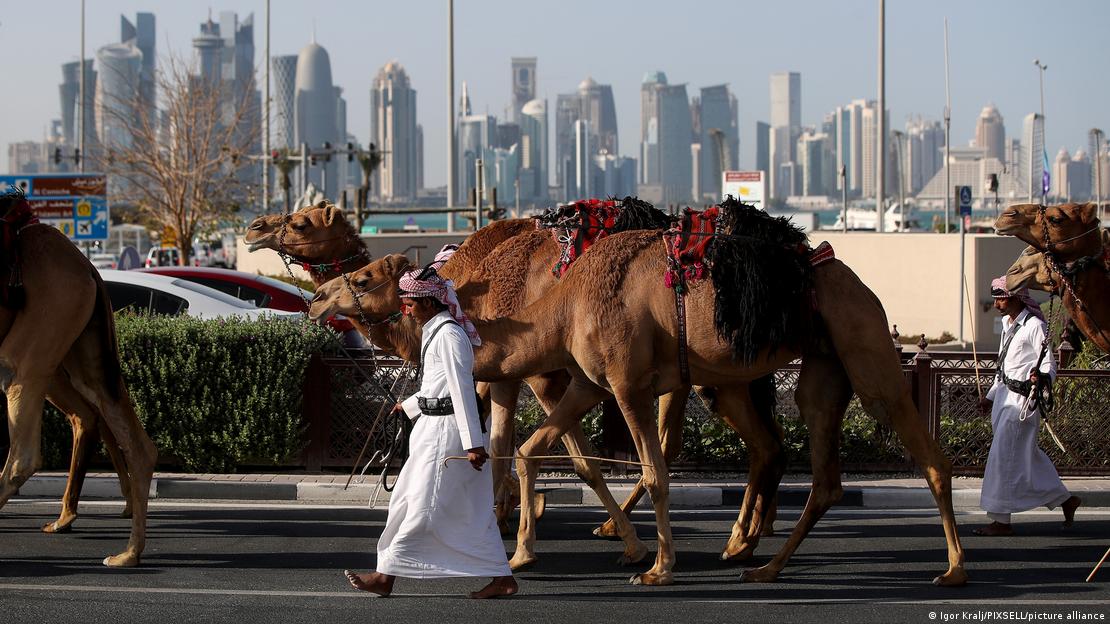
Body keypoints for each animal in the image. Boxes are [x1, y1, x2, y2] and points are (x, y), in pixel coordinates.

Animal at [0, 189, 157, 564]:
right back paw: (127, 551)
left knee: (25, 453)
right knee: (119, 427)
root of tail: (87, 267)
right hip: (82, 345)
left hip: (44, 325)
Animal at [310, 202, 963, 586]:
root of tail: (846, 274)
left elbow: (646, 469)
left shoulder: (618, 381)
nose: (317, 301)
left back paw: (952, 570)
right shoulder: (585, 380)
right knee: (810, 468)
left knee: (927, 454)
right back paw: (758, 561)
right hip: (812, 371)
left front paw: (653, 564)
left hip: (865, 348)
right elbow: (527, 450)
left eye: (362, 276)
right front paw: (519, 552)